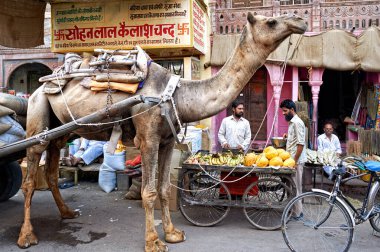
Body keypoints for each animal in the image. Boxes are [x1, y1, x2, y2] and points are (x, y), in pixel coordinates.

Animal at [18, 12, 306, 251]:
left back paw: (67, 213)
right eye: (271, 22)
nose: (300, 20)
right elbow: (149, 192)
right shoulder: (148, 138)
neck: (177, 95)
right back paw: (26, 236)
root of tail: (40, 86)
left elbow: (165, 188)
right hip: (38, 113)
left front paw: (173, 233)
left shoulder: (167, 141)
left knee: (53, 169)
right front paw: (153, 242)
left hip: (61, 131)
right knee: (30, 175)